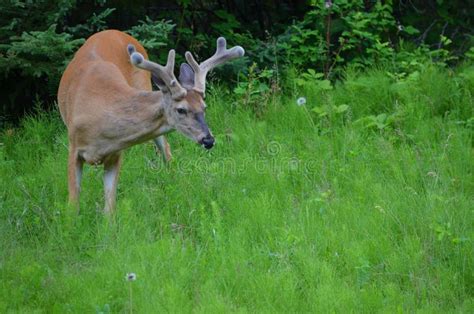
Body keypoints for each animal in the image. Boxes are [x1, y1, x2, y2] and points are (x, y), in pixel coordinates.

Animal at [56, 29, 244, 212]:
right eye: (181, 109)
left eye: (204, 107)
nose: (208, 140)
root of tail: (113, 31)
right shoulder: (73, 148)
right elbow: (73, 206)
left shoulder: (116, 154)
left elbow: (109, 208)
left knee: (166, 149)